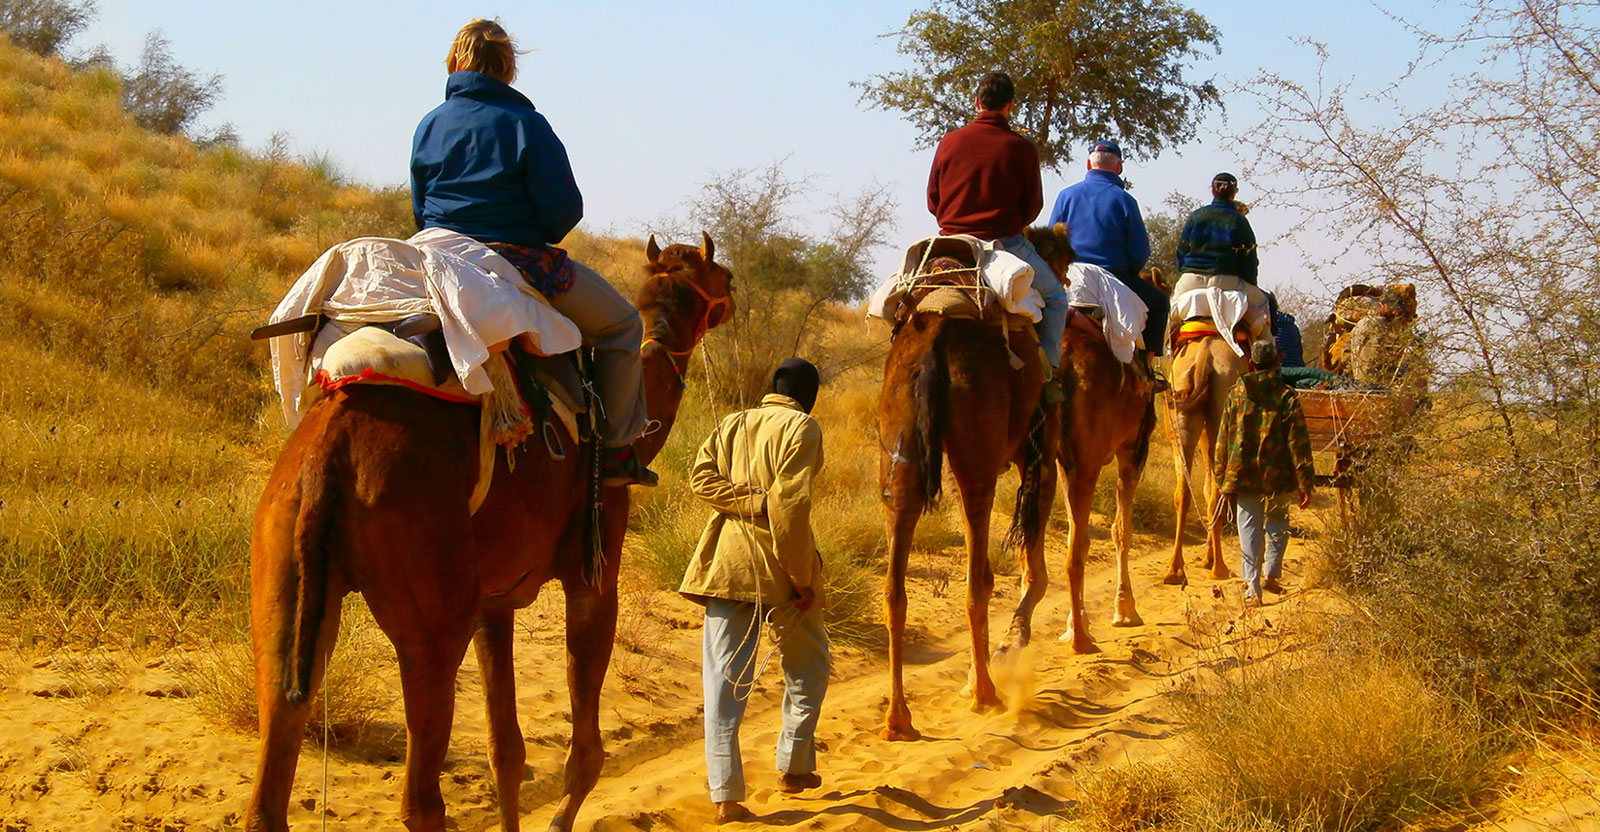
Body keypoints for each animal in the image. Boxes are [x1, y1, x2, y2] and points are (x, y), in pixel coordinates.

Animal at [241, 233, 732, 832]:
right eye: (721, 276)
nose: (734, 291)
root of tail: (326, 453)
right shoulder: (593, 569)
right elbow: (585, 754)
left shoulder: (492, 600)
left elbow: (507, 752)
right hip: (430, 597)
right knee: (421, 797)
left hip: (281, 561)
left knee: (274, 758)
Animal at [876, 241, 1049, 742]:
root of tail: (934, 337)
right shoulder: (1043, 452)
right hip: (977, 456)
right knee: (977, 577)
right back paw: (985, 693)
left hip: (899, 453)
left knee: (895, 586)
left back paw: (898, 719)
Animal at [1004, 224, 1158, 652]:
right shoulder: (1131, 449)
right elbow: (1121, 530)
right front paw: (1125, 611)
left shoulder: (1059, 457)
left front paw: (1081, 619)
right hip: (1092, 458)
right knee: (1076, 552)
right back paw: (1081, 640)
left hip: (1044, 456)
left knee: (1040, 545)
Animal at [1164, 328, 1248, 582]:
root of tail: (1203, 358)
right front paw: (1209, 559)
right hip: (1223, 412)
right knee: (1216, 495)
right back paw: (1219, 568)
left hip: (1180, 405)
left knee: (1184, 491)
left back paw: (1175, 569)